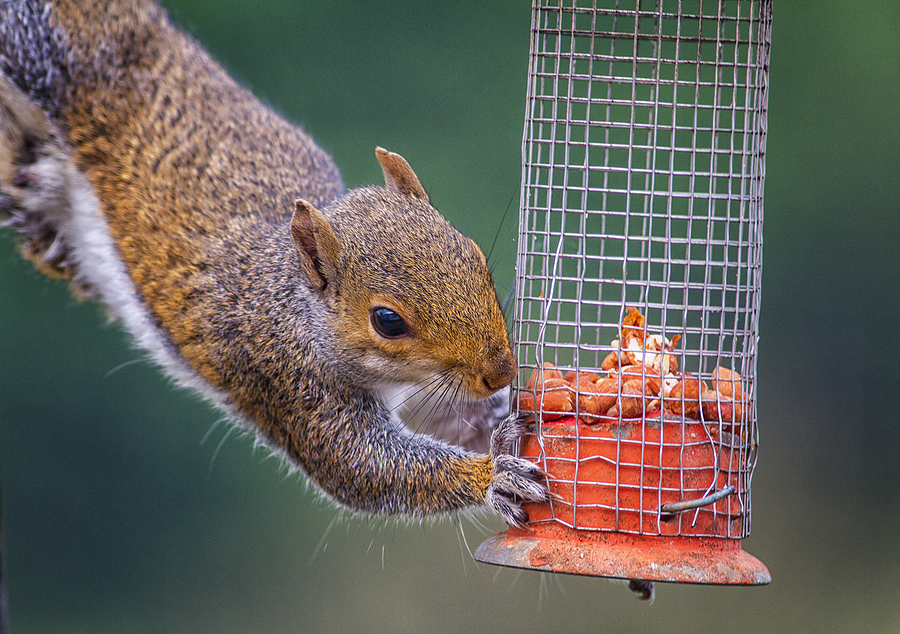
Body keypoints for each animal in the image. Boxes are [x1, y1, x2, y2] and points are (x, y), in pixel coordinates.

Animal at [0, 0, 548, 525]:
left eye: (476, 257)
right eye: (388, 321)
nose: (501, 372)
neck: (299, 306)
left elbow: (452, 417)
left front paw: (506, 420)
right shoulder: (287, 378)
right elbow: (364, 469)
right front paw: (494, 477)